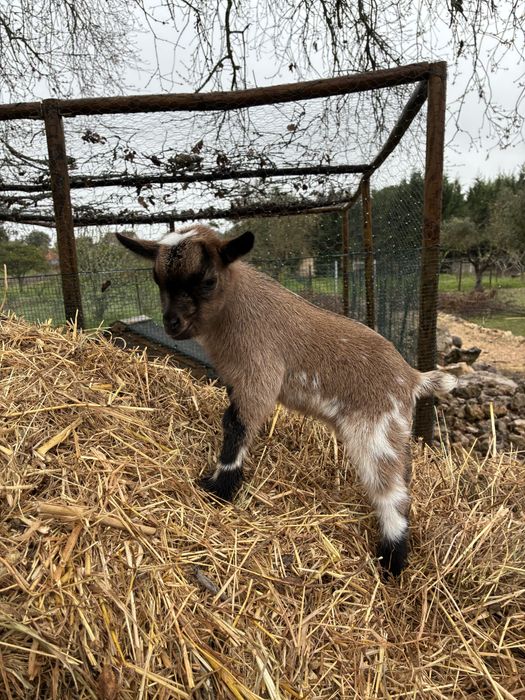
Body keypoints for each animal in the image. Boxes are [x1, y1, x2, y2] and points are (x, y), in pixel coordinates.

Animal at [116, 224, 456, 576]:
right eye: (157, 279)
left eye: (208, 280)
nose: (173, 323)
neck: (233, 309)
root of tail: (412, 376)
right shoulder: (235, 380)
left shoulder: (260, 373)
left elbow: (236, 424)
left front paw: (220, 487)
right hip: (393, 431)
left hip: (377, 430)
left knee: (390, 490)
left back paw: (392, 559)